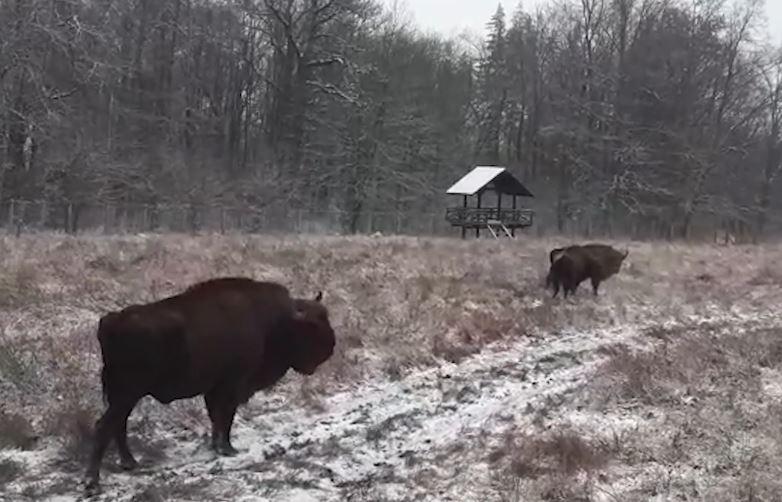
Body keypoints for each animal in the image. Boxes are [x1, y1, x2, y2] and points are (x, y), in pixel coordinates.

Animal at [86, 278, 336, 494]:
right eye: (312, 326)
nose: (331, 347)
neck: (277, 320)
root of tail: (112, 321)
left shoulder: (214, 389)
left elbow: (216, 418)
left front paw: (216, 447)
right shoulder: (232, 385)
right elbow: (225, 417)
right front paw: (228, 448)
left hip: (123, 397)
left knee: (118, 425)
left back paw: (130, 463)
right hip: (127, 394)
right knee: (104, 427)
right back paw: (93, 482)